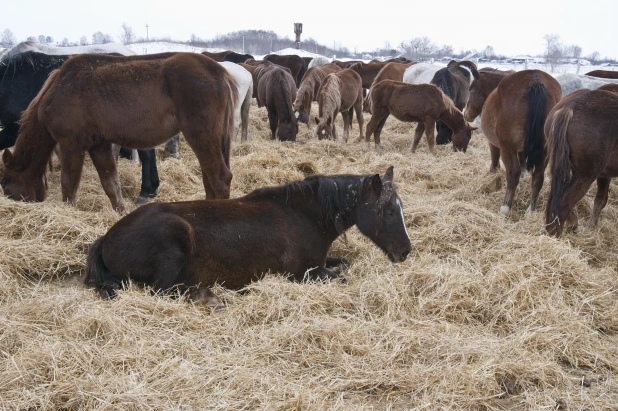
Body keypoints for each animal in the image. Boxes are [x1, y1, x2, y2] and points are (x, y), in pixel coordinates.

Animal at [0, 52, 238, 212]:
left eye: (6, 185)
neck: (59, 90)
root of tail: (219, 72)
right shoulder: (99, 145)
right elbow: (111, 184)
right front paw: (121, 213)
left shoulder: (71, 144)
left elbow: (68, 185)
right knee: (209, 179)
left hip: (201, 136)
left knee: (220, 178)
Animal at [83, 168, 410, 308]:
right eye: (389, 210)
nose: (405, 251)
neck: (304, 215)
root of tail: (107, 238)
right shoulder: (305, 274)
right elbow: (340, 275)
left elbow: (344, 264)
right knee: (164, 291)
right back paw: (209, 297)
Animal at [544, 85, 616, 237]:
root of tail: (569, 107)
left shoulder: (604, 175)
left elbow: (600, 200)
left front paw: (591, 226)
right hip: (586, 174)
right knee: (564, 202)